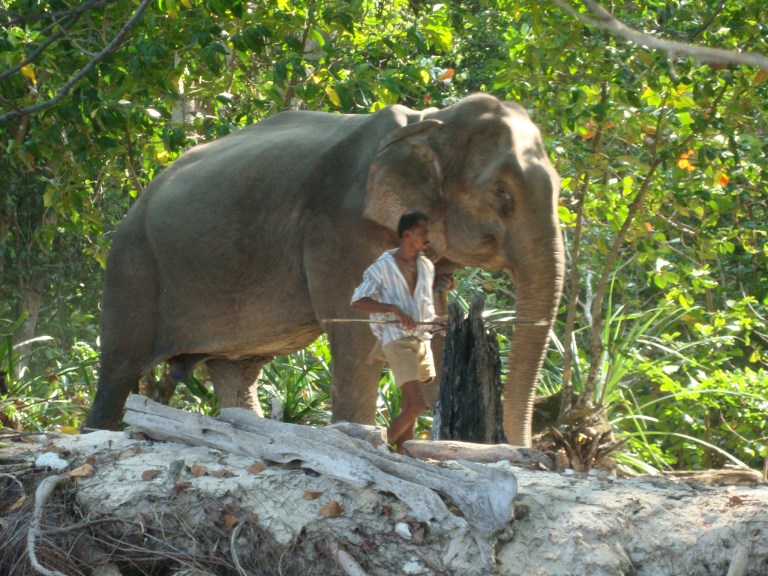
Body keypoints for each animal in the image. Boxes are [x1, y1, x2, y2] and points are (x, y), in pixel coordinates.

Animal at [83, 93, 565, 447]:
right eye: (501, 193)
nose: (521, 449)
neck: (430, 121)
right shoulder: (339, 227)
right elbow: (356, 339)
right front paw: (360, 437)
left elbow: (433, 330)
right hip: (132, 267)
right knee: (118, 370)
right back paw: (96, 431)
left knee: (236, 375)